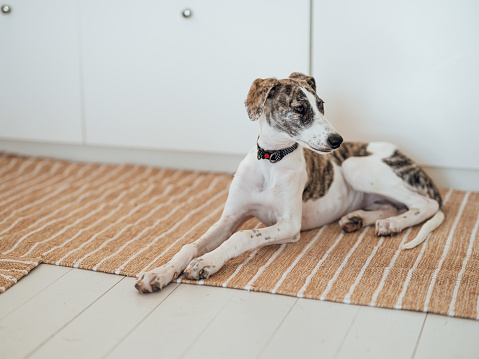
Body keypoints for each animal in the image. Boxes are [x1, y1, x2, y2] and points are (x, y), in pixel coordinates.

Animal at [134, 73, 442, 296]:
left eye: (322, 106)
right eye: (300, 108)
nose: (337, 140)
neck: (271, 160)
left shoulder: (289, 224)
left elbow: (243, 236)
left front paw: (206, 262)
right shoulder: (229, 217)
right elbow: (191, 245)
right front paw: (159, 272)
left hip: (354, 166)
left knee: (425, 204)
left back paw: (393, 224)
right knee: (394, 205)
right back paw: (362, 219)